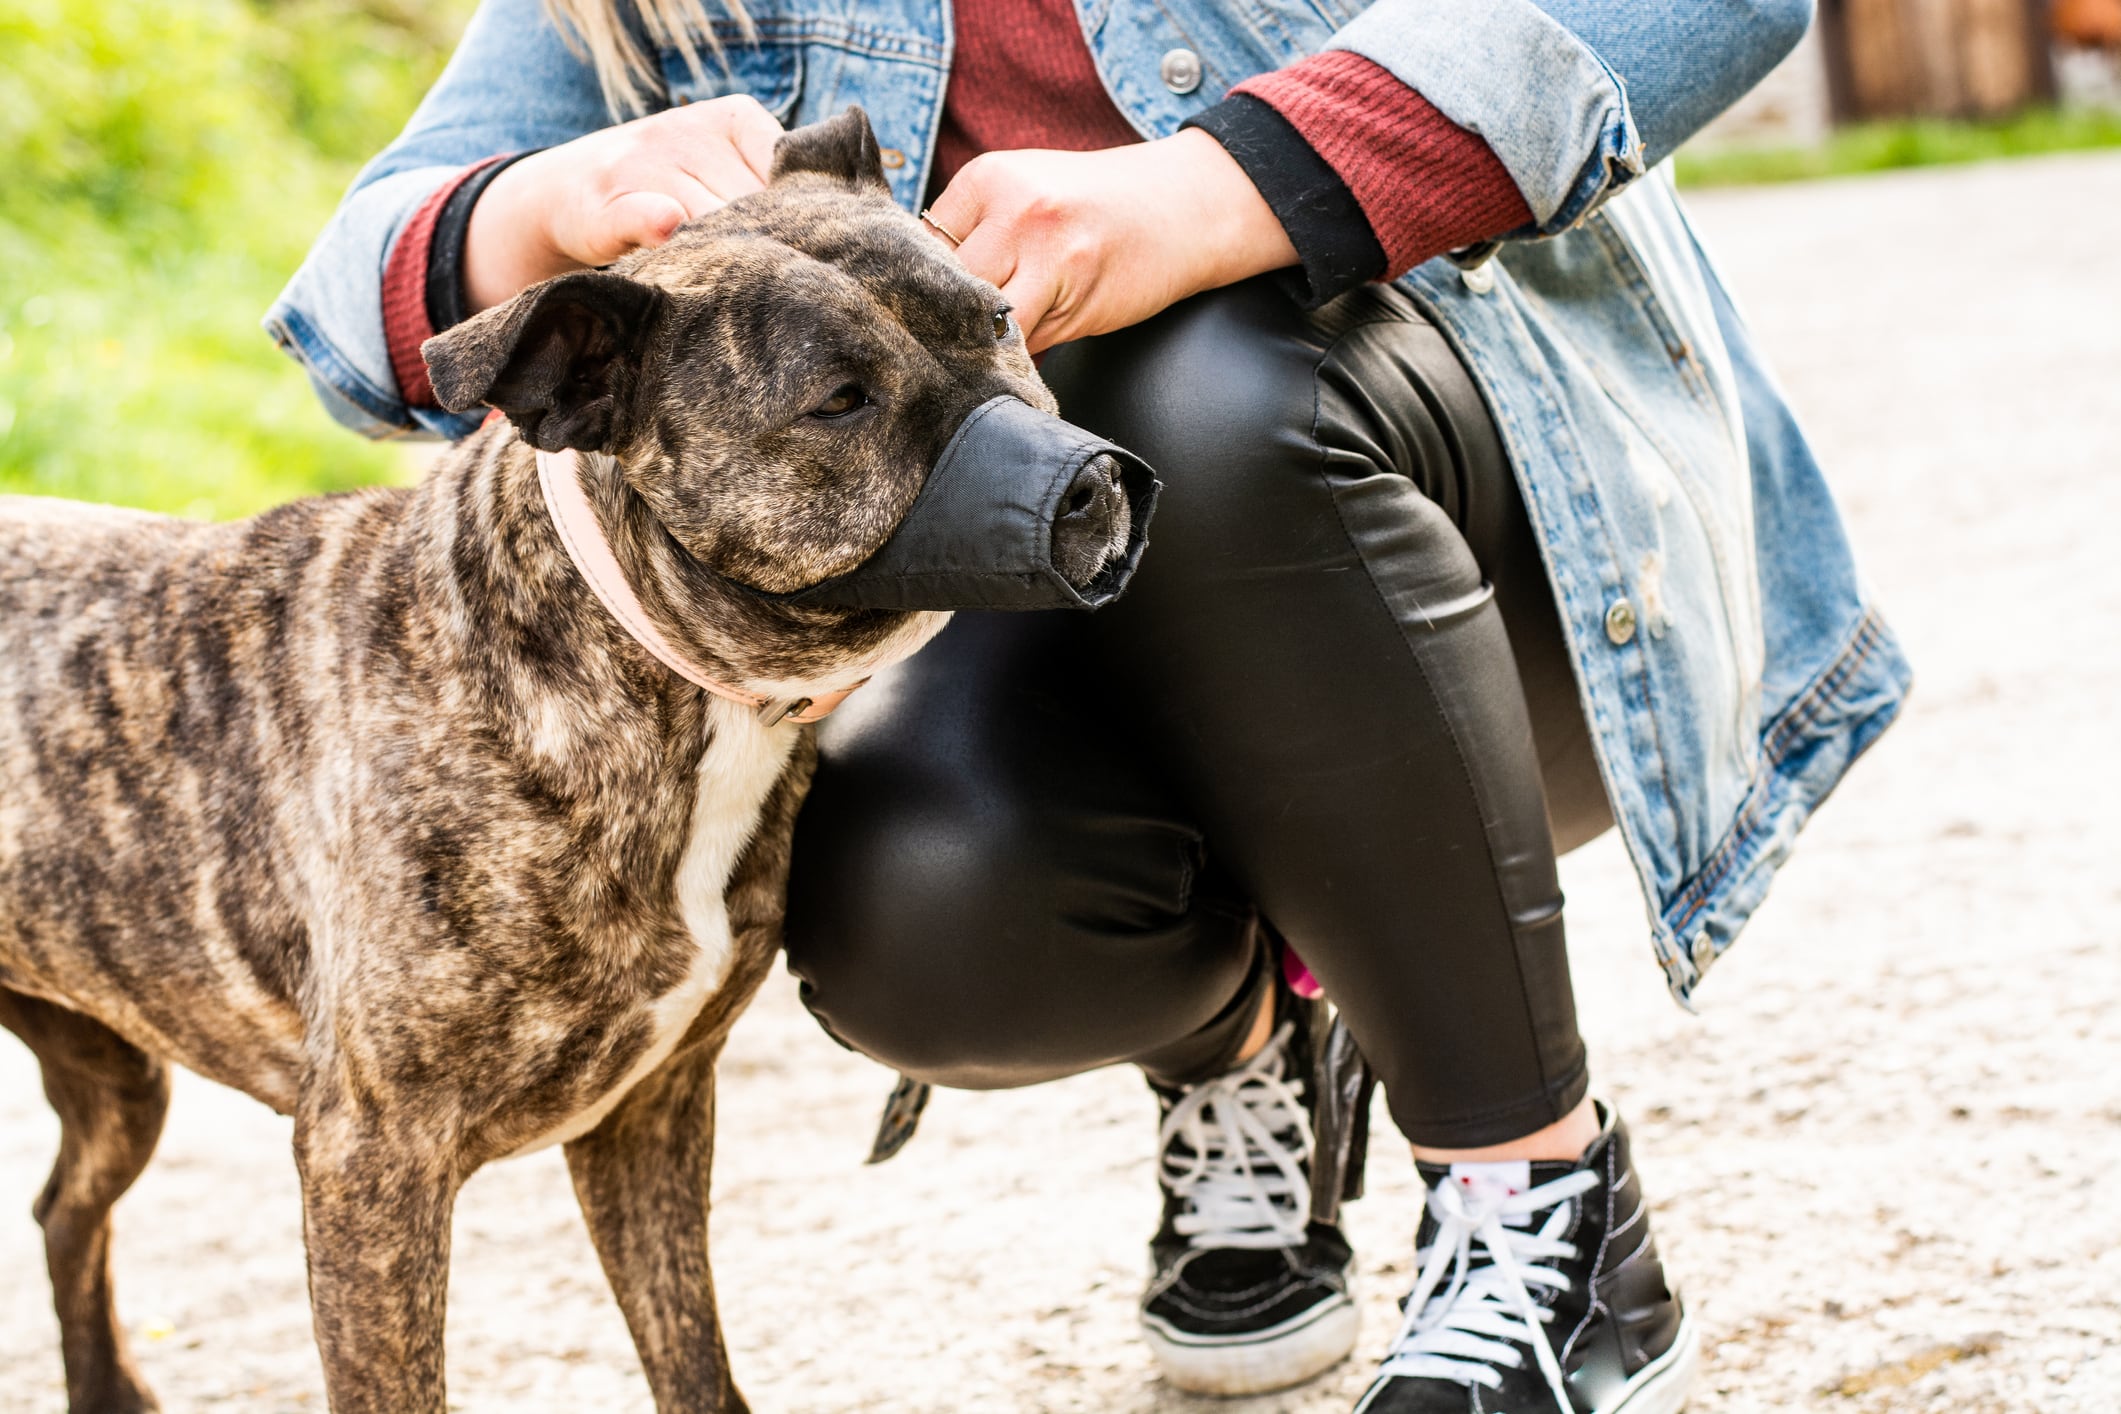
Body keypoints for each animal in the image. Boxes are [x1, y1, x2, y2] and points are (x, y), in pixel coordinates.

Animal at [4, 110, 1111, 1414]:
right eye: (839, 402)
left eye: (999, 314)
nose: (1094, 485)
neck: (653, 678)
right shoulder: (372, 1162)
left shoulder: (650, 1115)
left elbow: (696, 1364)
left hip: (118, 1081)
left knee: (66, 1209)